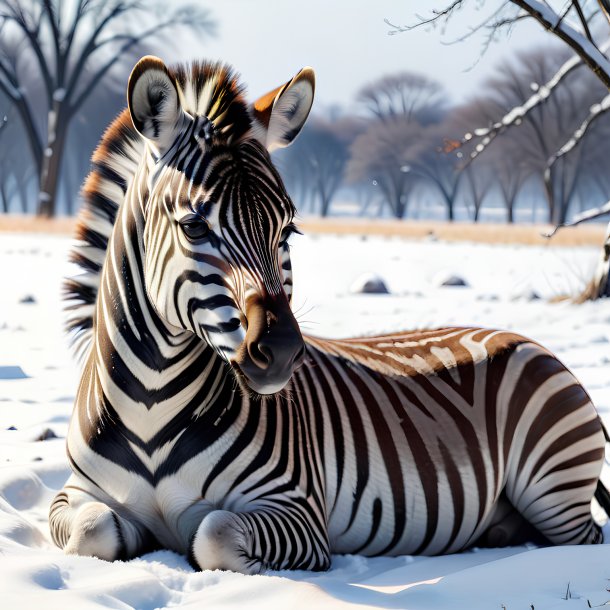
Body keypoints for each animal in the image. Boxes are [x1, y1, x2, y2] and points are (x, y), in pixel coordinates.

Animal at [48, 54, 608, 572]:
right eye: (193, 226)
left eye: (289, 229)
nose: (280, 353)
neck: (151, 402)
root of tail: (520, 337)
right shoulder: (74, 495)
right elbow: (94, 531)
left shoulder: (297, 509)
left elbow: (214, 533)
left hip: (555, 483)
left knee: (586, 538)